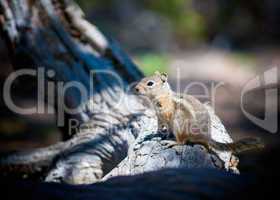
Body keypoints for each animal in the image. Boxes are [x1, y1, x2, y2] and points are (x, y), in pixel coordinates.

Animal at [135, 71, 264, 153]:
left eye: (150, 83)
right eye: (141, 79)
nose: (136, 88)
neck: (162, 96)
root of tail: (206, 136)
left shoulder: (166, 112)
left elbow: (165, 123)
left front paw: (162, 133)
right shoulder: (158, 115)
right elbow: (160, 124)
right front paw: (158, 132)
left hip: (180, 123)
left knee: (183, 141)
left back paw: (172, 142)